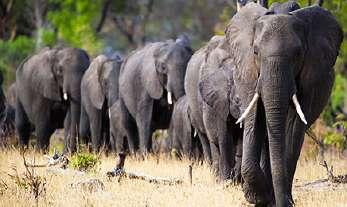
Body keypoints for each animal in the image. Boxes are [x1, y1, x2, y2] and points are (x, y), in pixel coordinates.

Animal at [186, 34, 243, 179]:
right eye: (237, 100)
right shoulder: (215, 100)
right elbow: (221, 137)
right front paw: (226, 180)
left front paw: (236, 179)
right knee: (207, 139)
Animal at [226, 2, 342, 205]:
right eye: (255, 52)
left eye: (298, 54)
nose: (284, 202)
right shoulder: (249, 72)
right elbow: (254, 119)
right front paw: (258, 197)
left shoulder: (310, 77)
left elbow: (293, 127)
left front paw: (278, 200)